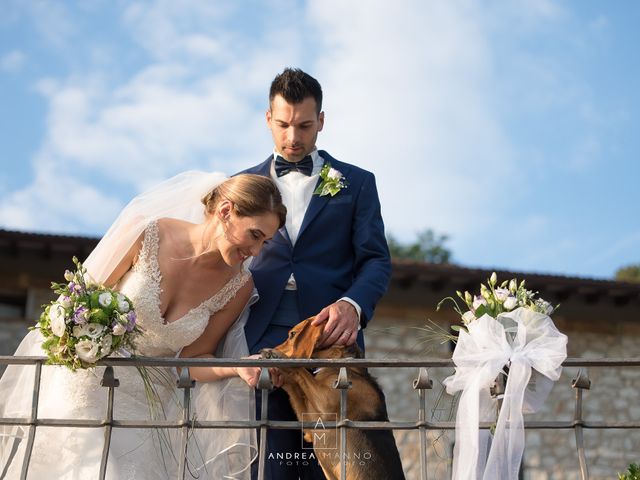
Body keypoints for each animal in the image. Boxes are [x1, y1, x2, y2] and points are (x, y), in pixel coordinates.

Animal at [262, 316, 404, 478]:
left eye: (292, 334)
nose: (261, 350)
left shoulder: (325, 402)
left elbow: (299, 369)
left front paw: (276, 356)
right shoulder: (310, 425)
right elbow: (293, 384)